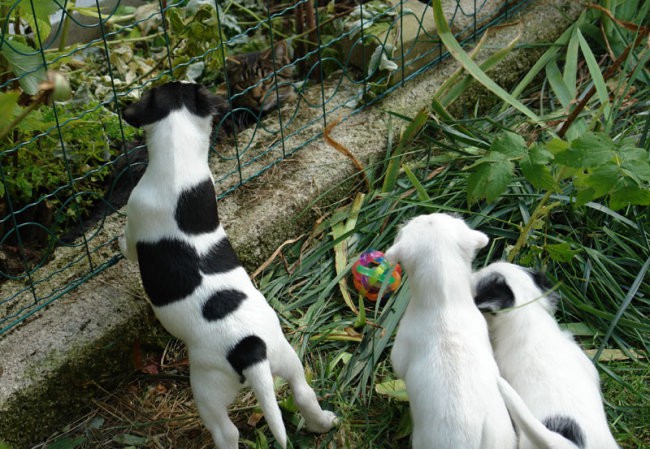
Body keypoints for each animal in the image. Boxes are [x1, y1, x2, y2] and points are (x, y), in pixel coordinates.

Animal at [119, 81, 337, 449]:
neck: (177, 166)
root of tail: (249, 348)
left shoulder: (135, 220)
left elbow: (127, 247)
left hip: (207, 389)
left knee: (226, 430)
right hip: (285, 355)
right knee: (303, 392)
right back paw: (322, 423)